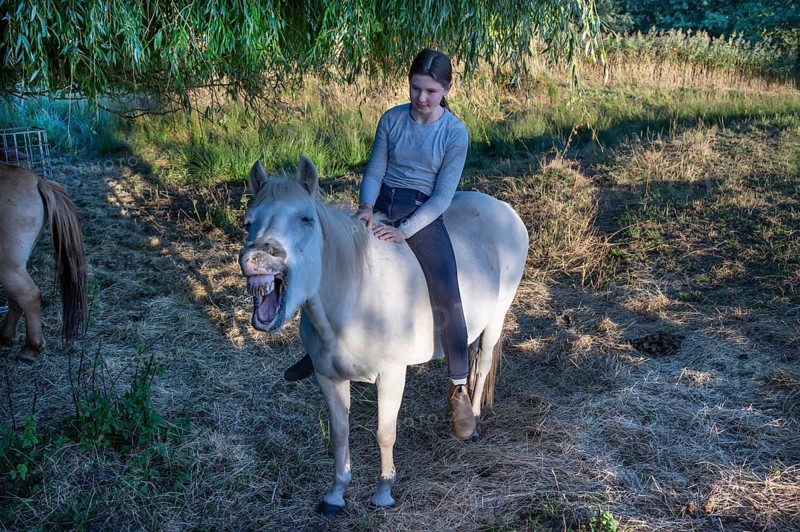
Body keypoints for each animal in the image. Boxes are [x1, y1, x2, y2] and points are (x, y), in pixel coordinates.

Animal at [238, 156, 529, 515]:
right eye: (248, 222)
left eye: (306, 219)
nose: (256, 259)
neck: (355, 297)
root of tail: (504, 208)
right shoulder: (328, 377)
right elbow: (340, 433)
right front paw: (336, 494)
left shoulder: (391, 376)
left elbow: (384, 433)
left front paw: (384, 491)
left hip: (497, 317)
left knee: (483, 365)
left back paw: (470, 419)